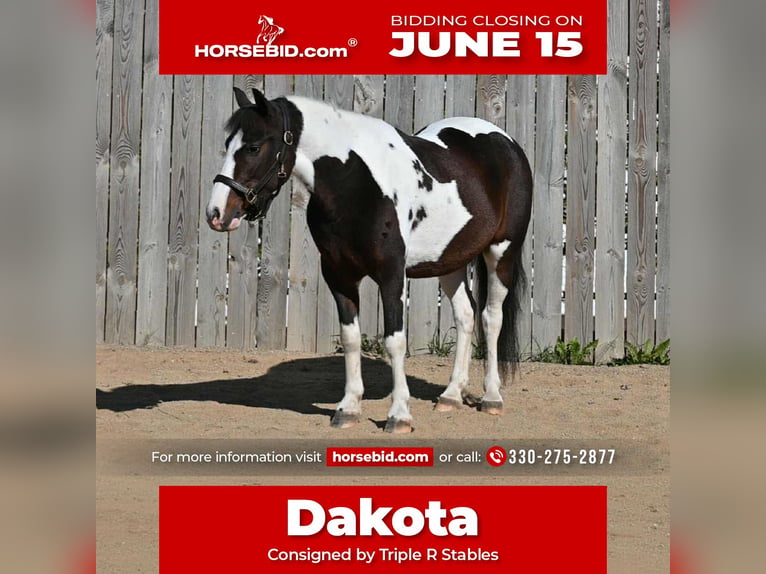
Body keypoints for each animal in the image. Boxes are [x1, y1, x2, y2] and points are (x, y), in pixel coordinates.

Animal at [206, 87, 533, 433]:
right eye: (228, 143)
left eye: (254, 147)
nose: (216, 213)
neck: (354, 182)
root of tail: (505, 141)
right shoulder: (338, 275)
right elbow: (351, 339)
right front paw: (348, 409)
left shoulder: (391, 275)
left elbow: (394, 341)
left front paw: (399, 415)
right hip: (451, 260)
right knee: (466, 315)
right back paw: (451, 396)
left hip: (502, 252)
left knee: (491, 318)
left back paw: (492, 398)